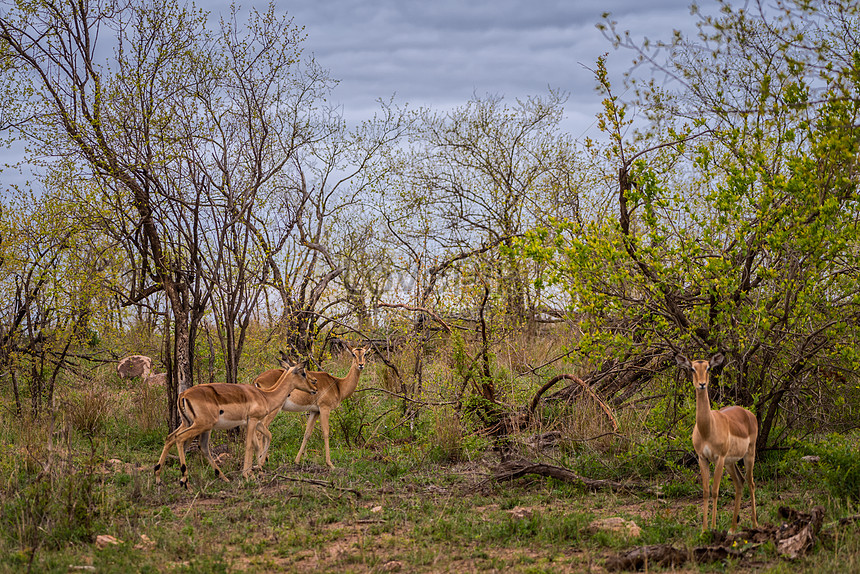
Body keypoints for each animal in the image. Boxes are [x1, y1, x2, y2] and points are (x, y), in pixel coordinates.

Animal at [154, 360, 316, 490]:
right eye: (303, 373)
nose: (314, 389)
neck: (265, 396)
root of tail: (183, 394)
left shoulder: (253, 423)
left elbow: (262, 441)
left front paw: (258, 471)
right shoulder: (253, 420)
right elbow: (250, 445)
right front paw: (248, 474)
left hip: (189, 423)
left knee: (174, 438)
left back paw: (159, 477)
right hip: (202, 425)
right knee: (180, 439)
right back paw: (185, 481)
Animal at [676, 356, 756, 536]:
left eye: (708, 368)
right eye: (692, 368)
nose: (702, 384)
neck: (707, 429)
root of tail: (748, 413)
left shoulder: (718, 458)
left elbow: (715, 491)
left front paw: (713, 527)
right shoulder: (702, 458)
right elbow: (706, 492)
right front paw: (704, 530)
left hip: (748, 455)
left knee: (750, 482)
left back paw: (755, 525)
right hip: (730, 462)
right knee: (739, 483)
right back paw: (732, 528)